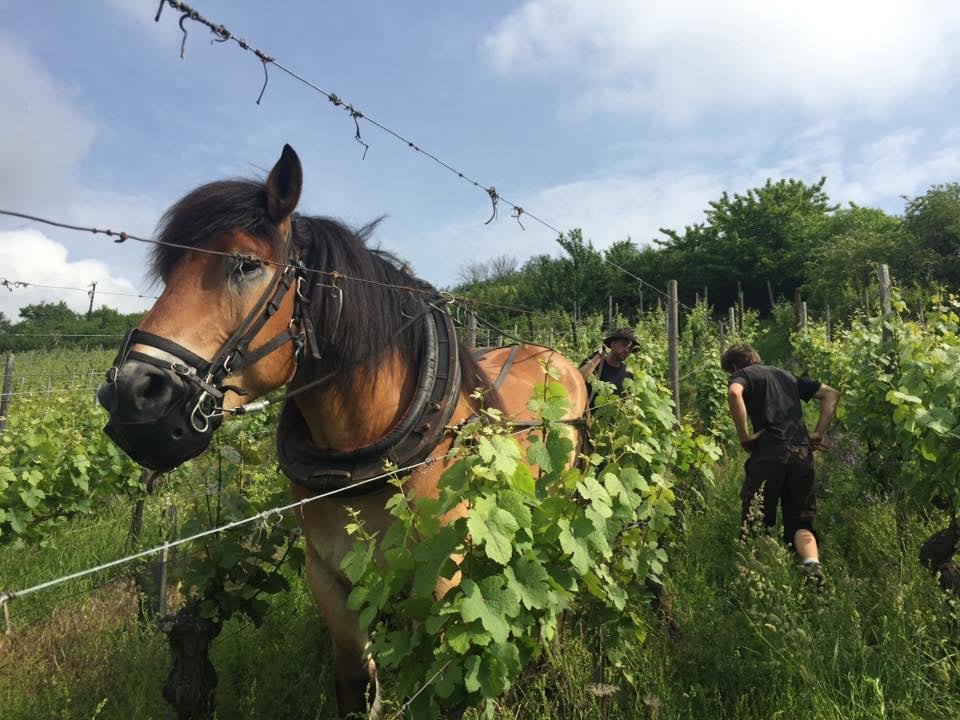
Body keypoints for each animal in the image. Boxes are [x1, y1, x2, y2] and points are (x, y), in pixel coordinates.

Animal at [97, 143, 584, 716]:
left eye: (246, 264)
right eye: (170, 272)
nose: (131, 394)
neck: (369, 454)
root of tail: (557, 356)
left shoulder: (448, 574)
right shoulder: (329, 574)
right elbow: (353, 679)